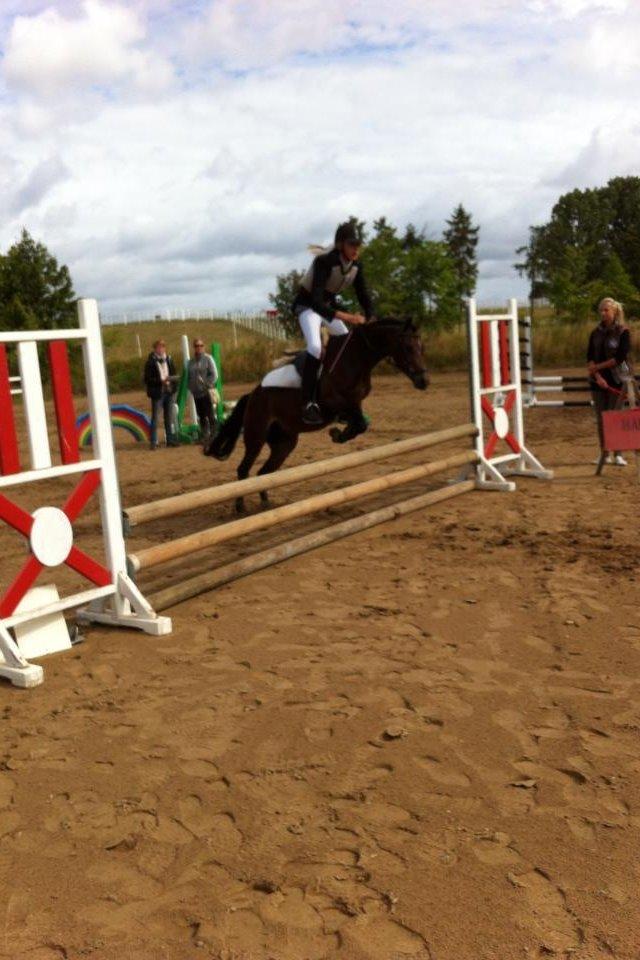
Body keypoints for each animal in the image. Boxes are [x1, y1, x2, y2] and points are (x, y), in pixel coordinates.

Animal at [205, 318, 429, 512]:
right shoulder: (333, 403)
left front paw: (339, 433)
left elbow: (360, 423)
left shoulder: (354, 404)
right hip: (256, 437)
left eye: (421, 347)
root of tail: (252, 395)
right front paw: (338, 434)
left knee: (263, 474)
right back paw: (240, 507)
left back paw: (266, 503)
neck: (355, 358)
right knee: (244, 470)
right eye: (408, 347)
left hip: (284, 443)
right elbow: (357, 422)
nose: (424, 381)